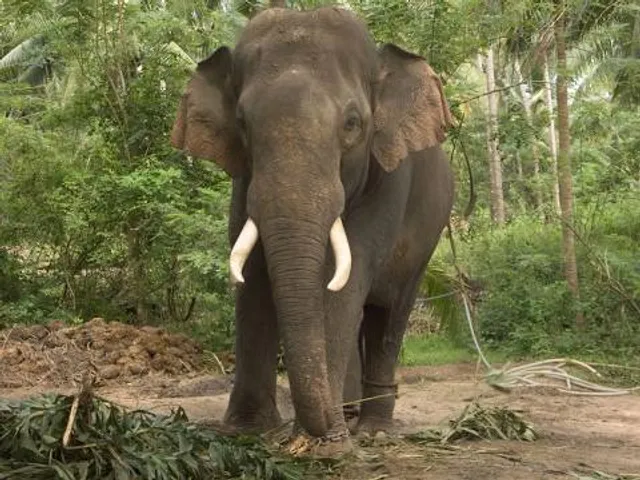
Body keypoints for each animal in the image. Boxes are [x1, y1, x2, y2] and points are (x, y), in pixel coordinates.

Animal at [170, 6, 455, 455]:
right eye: (242, 123)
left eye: (353, 123)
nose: (315, 428)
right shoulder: (245, 181)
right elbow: (254, 273)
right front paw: (245, 432)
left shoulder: (389, 179)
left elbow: (346, 277)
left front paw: (326, 444)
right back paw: (352, 414)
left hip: (429, 239)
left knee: (389, 316)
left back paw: (372, 428)